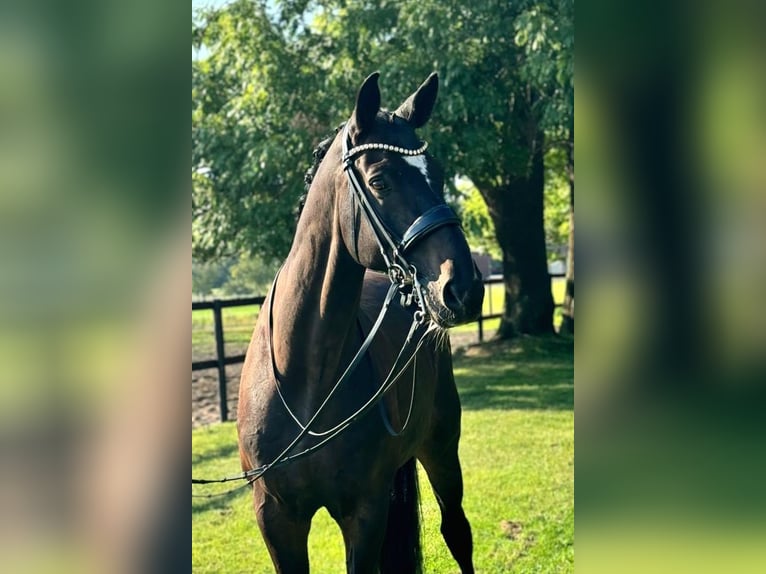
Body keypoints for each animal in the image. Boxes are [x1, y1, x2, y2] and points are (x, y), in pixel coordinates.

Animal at [237, 73, 484, 574]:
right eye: (380, 180)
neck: (305, 383)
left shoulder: (365, 512)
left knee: (457, 531)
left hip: (441, 448)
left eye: (438, 174)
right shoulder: (276, 518)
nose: (463, 287)